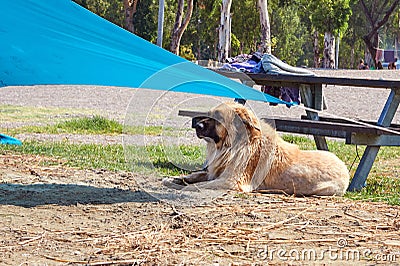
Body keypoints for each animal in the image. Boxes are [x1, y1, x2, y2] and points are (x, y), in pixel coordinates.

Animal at [162, 102, 350, 195]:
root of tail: (345, 168)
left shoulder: (231, 181)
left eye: (218, 118)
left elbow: (197, 185)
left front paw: (181, 187)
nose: (197, 126)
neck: (233, 145)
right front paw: (174, 178)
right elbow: (195, 175)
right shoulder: (214, 173)